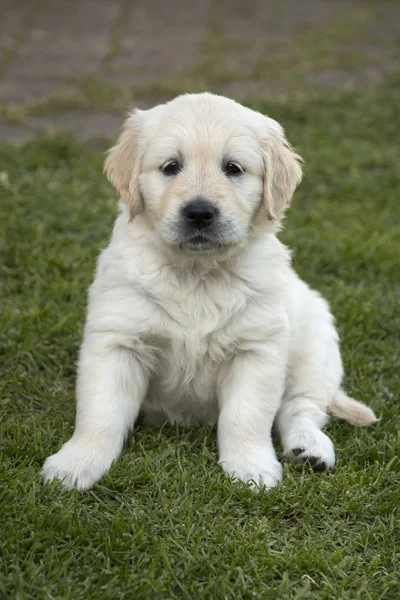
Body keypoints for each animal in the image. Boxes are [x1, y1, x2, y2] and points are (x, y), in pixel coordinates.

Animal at [42, 91, 376, 490]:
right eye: (171, 166)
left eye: (233, 168)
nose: (200, 212)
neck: (196, 273)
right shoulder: (118, 341)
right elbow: (100, 412)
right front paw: (76, 463)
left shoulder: (256, 349)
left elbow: (246, 415)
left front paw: (251, 467)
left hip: (314, 343)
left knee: (301, 406)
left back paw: (309, 448)